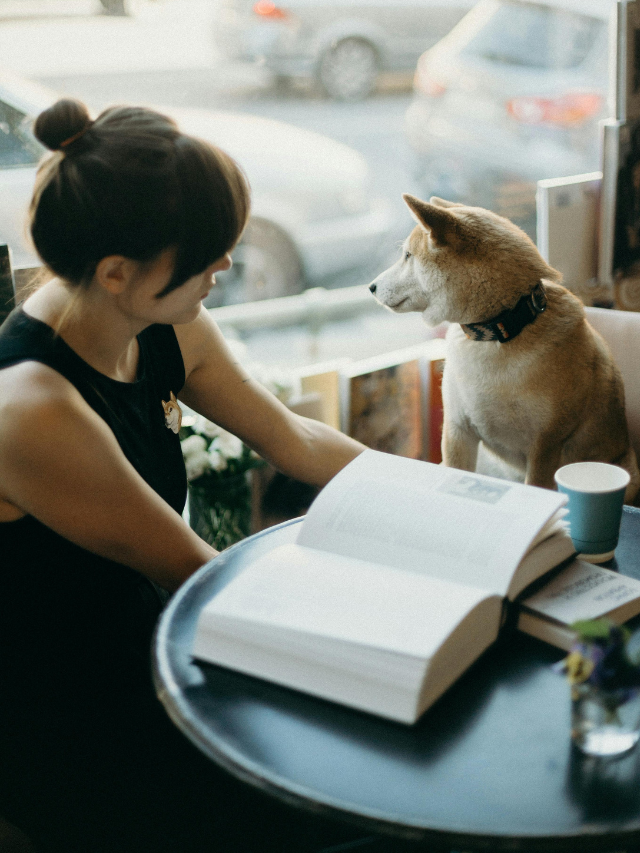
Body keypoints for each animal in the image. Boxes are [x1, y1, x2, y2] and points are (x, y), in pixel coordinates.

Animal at [370, 191, 640, 506]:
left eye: (407, 256)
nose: (370, 287)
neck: (495, 333)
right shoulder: (457, 430)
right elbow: (454, 470)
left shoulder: (544, 445)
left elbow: (536, 484)